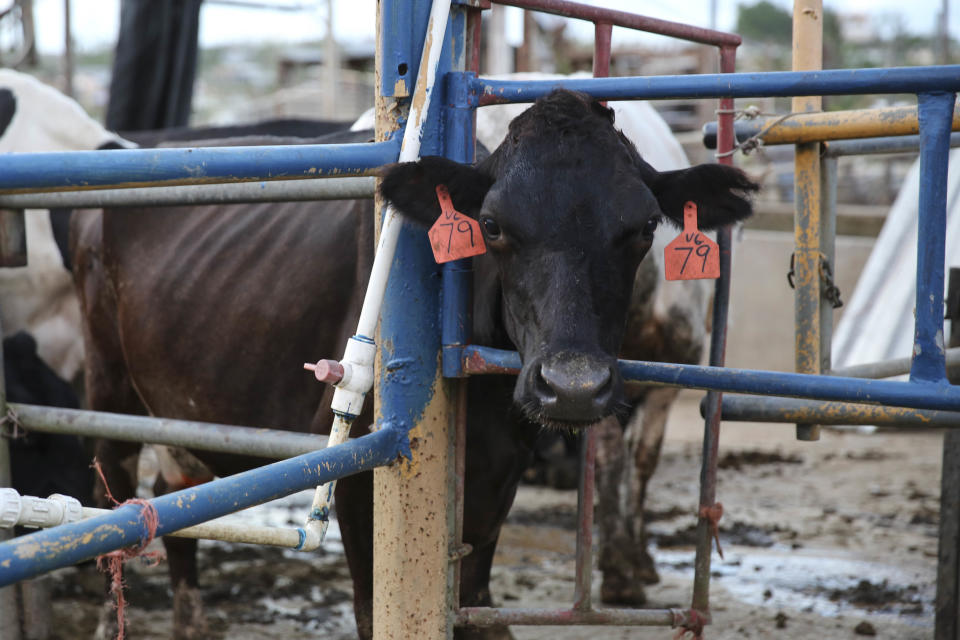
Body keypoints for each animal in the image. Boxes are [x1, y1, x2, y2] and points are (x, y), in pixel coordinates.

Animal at [71, 91, 752, 640]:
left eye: (644, 227)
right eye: (493, 225)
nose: (575, 387)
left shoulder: (499, 473)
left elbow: (475, 599)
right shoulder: (354, 474)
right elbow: (375, 612)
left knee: (176, 490)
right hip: (108, 381)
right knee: (113, 495)